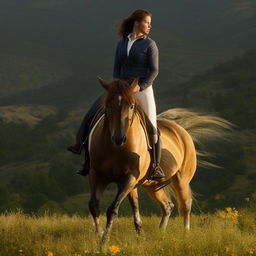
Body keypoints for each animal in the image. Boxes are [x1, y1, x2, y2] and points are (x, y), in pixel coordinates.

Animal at [87, 77, 233, 245]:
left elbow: (112, 209)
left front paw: (104, 243)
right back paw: (160, 233)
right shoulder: (97, 175)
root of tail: (182, 131)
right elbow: (94, 205)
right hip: (151, 184)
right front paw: (100, 236)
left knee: (185, 205)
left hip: (181, 179)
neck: (114, 149)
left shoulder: (129, 178)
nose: (119, 138)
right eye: (107, 105)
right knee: (167, 205)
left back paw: (185, 235)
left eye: (131, 106)